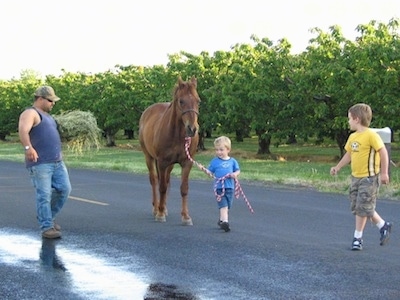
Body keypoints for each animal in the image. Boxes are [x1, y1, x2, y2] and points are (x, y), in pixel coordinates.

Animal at [139, 77, 200, 225]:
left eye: (198, 101)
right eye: (181, 101)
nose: (193, 129)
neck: (177, 135)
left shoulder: (187, 163)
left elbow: (183, 188)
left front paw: (186, 216)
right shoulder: (162, 162)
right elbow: (162, 187)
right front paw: (160, 214)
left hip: (170, 165)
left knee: (166, 180)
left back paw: (164, 207)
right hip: (149, 157)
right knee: (154, 180)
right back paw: (157, 208)